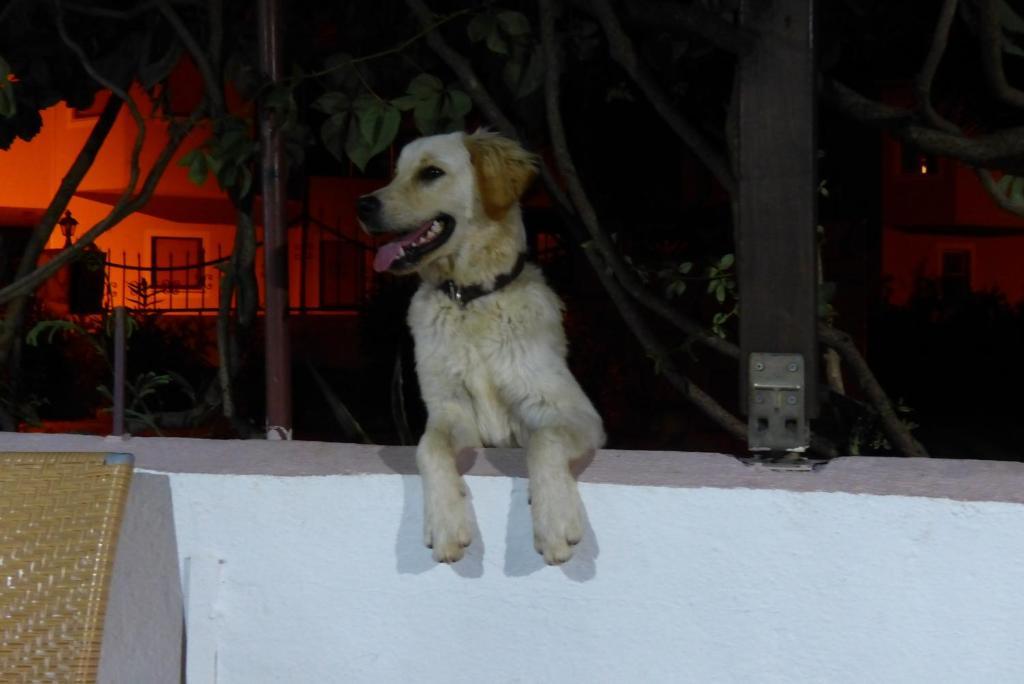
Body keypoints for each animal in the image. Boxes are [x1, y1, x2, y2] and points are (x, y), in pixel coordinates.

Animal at [358, 131, 602, 565]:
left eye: (431, 173)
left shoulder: (574, 412)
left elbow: (545, 440)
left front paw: (554, 519)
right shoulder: (451, 410)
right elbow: (430, 446)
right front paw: (445, 523)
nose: (362, 205)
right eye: (395, 172)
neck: (470, 300)